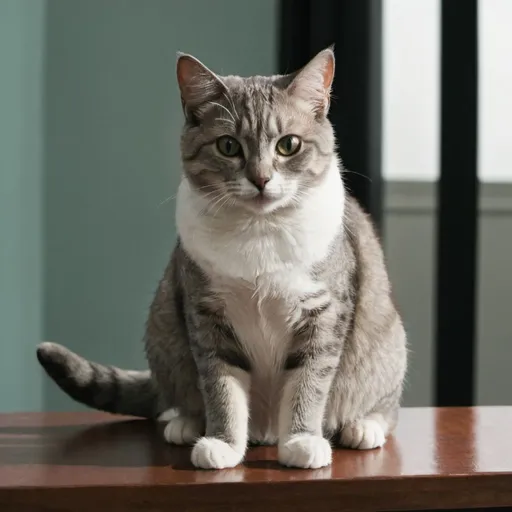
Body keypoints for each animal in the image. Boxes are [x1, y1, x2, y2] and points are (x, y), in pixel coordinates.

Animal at [36, 46, 406, 470]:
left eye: (289, 145)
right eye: (228, 146)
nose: (260, 179)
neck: (258, 231)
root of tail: (266, 431)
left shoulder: (324, 313)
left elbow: (309, 382)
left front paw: (302, 441)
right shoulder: (206, 314)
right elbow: (221, 386)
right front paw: (223, 443)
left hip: (386, 340)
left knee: (384, 403)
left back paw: (363, 427)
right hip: (164, 322)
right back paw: (184, 423)